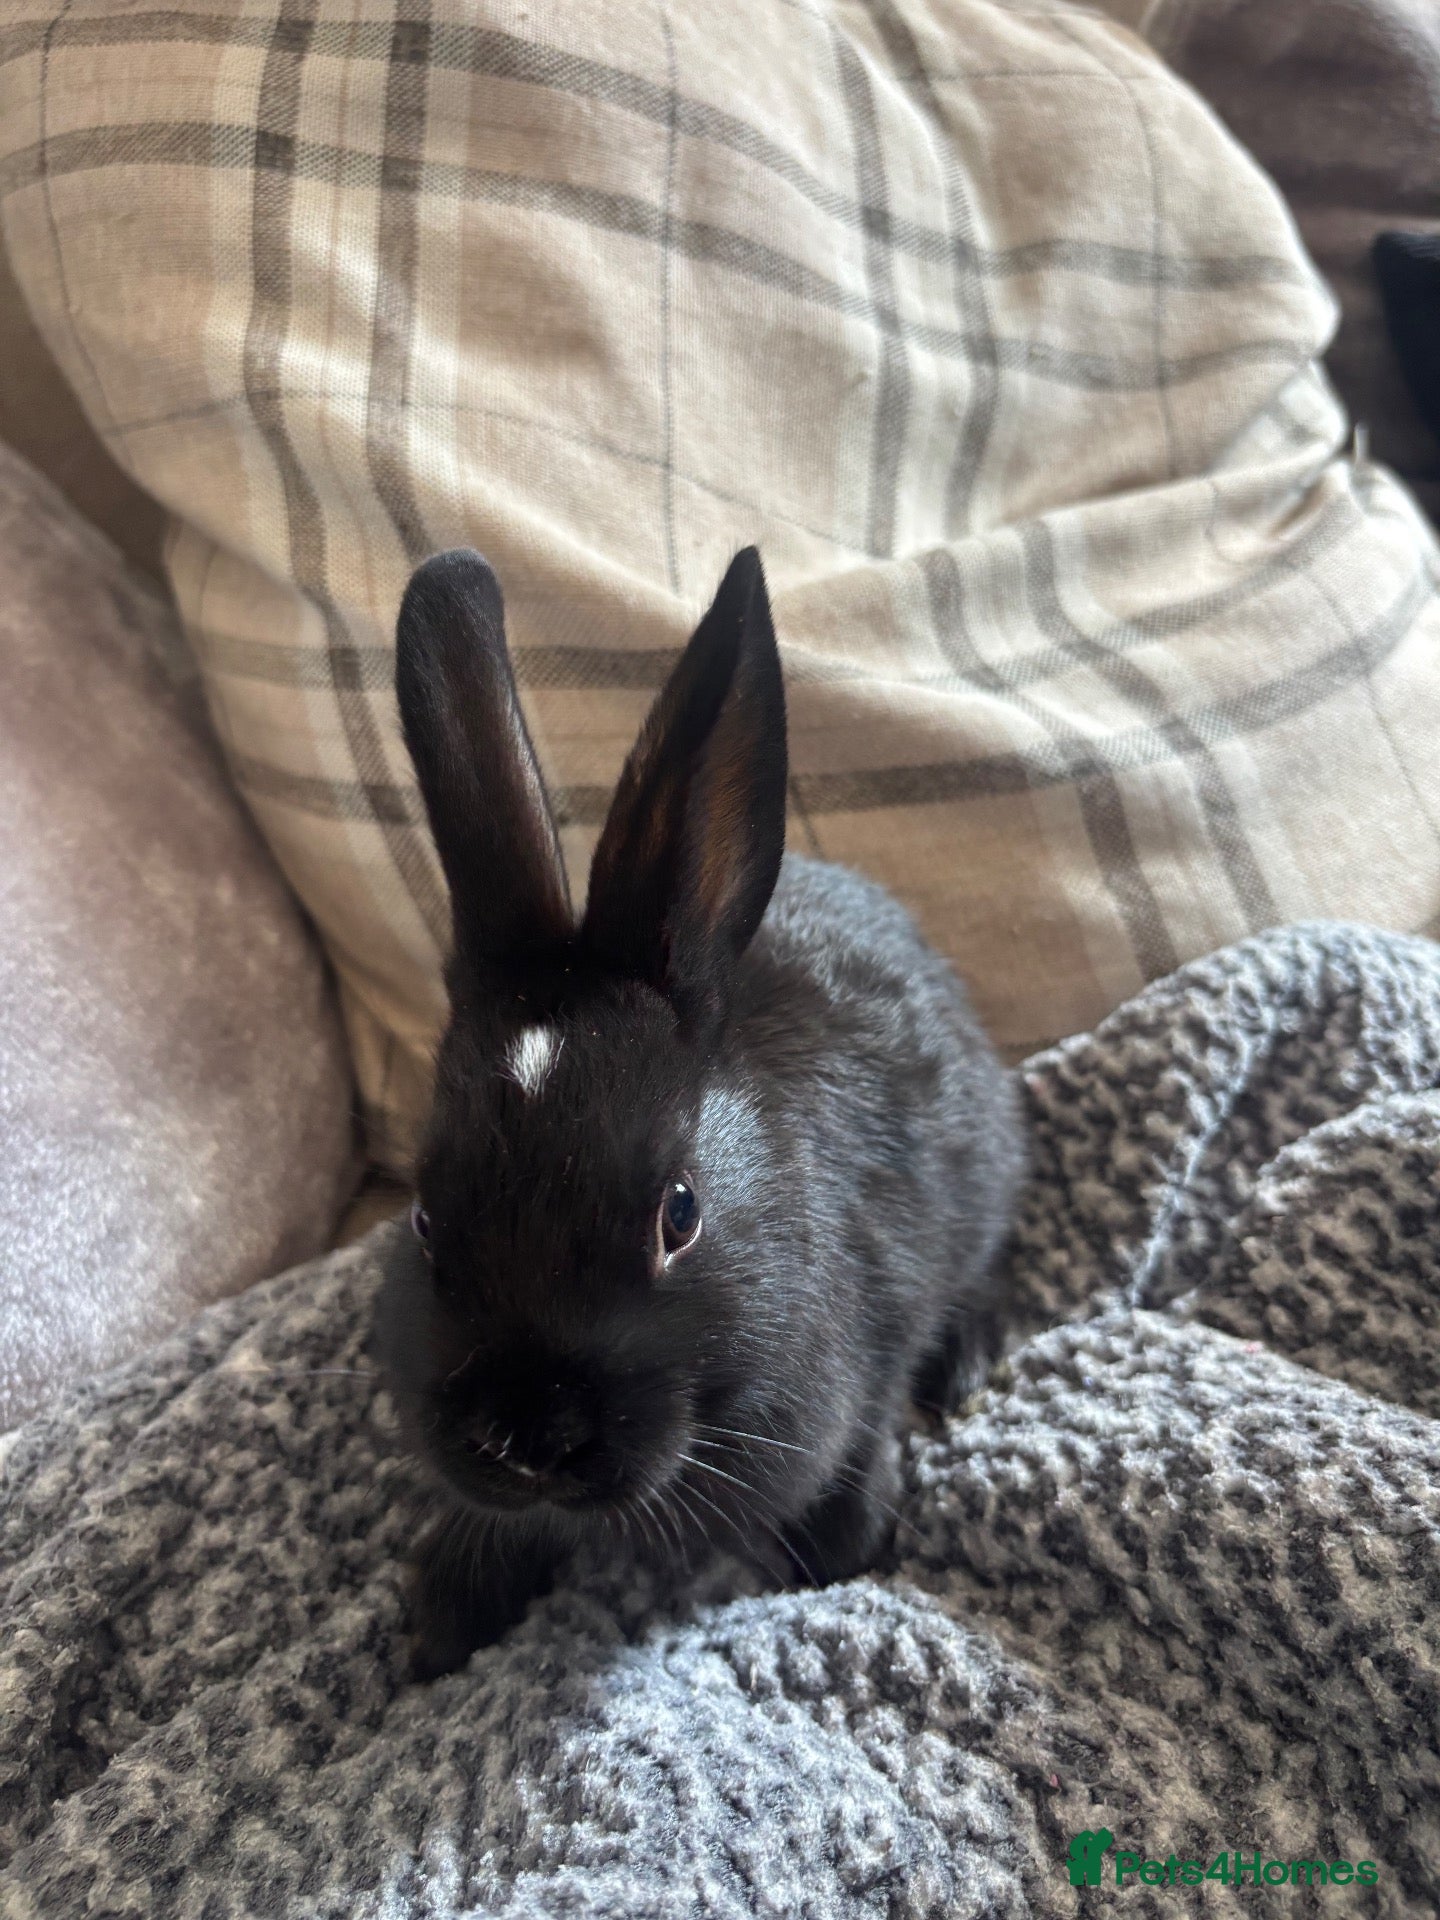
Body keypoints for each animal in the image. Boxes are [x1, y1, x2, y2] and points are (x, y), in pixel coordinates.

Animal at [376, 545, 1026, 1678]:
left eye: (679, 1215)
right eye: (421, 1219)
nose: (526, 1440)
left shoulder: (856, 1387)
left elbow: (855, 1465)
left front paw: (846, 1557)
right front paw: (440, 1629)